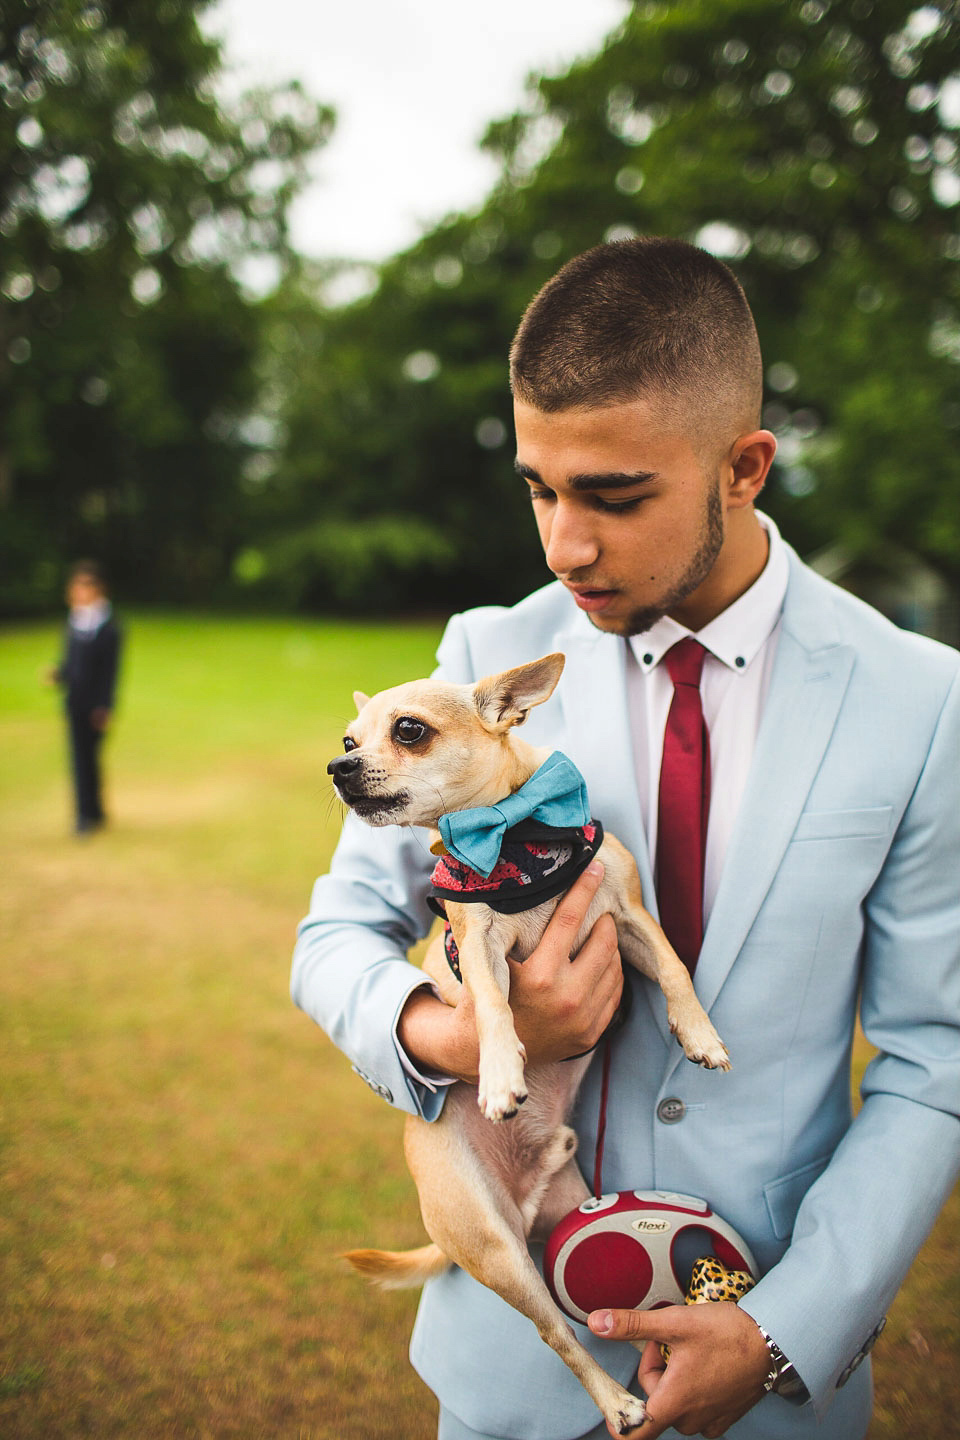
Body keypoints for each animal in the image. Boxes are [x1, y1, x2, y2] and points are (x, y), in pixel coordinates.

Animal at [331, 656, 728, 1440]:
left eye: (409, 731)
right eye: (349, 738)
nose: (338, 766)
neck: (514, 837)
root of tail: (524, 1198)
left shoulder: (629, 916)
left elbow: (673, 969)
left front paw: (699, 1033)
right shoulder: (479, 943)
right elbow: (490, 1004)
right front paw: (499, 1073)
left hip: (563, 1217)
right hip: (497, 1252)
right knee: (558, 1335)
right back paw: (618, 1402)